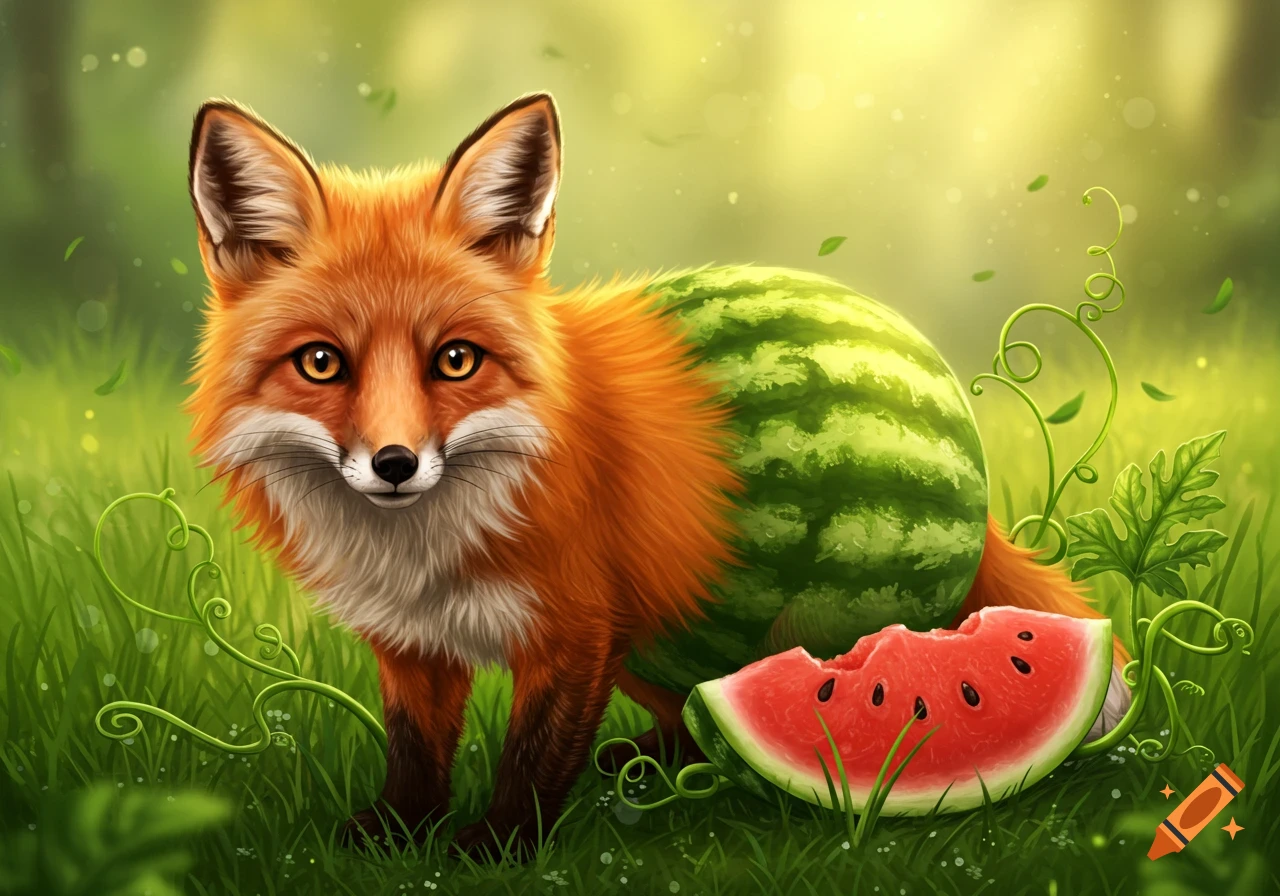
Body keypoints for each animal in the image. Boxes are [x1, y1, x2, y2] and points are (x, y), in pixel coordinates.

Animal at [184, 92, 1132, 860]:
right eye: (321, 363)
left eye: (455, 360)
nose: (393, 465)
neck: (425, 551)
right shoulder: (415, 644)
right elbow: (416, 752)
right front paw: (398, 831)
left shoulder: (573, 630)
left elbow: (534, 756)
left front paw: (499, 847)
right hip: (660, 633)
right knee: (688, 713)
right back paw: (651, 761)